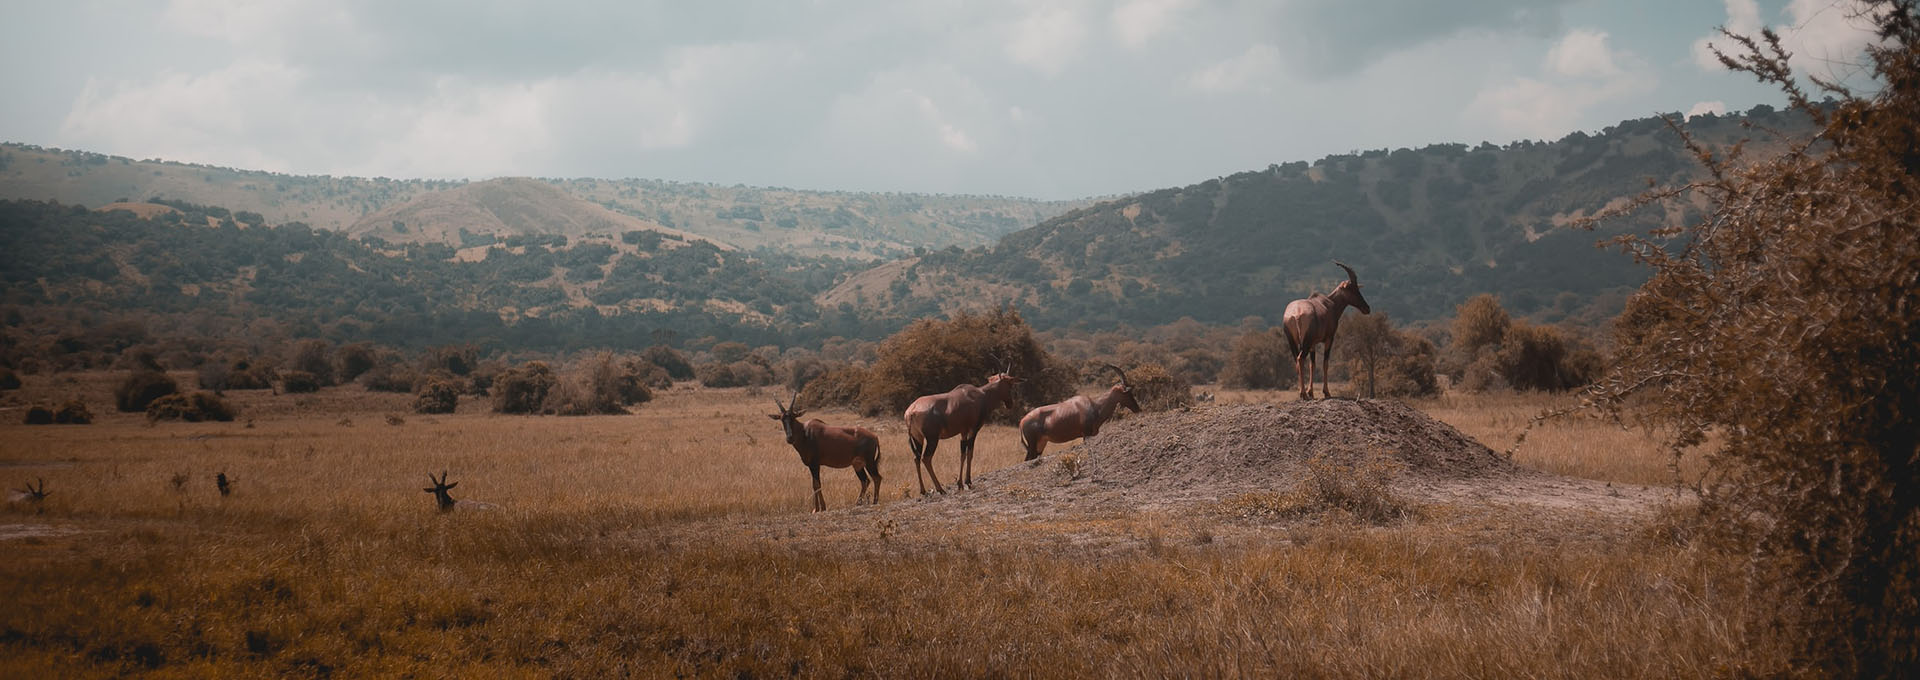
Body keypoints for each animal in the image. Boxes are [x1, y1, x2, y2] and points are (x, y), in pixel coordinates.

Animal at [906, 363, 1029, 491]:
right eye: (1010, 384)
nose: (1010, 404)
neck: (981, 395)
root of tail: (911, 411)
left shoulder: (963, 432)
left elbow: (962, 454)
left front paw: (960, 484)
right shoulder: (973, 429)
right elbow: (970, 453)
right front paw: (968, 482)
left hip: (917, 438)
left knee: (916, 458)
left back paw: (923, 491)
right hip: (932, 439)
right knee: (926, 458)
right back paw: (940, 489)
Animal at [1282, 259, 1374, 397]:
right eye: (1353, 289)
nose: (1367, 308)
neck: (1329, 303)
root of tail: (1296, 314)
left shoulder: (1313, 344)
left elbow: (1313, 365)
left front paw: (1311, 392)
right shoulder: (1329, 338)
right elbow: (1325, 363)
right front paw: (1326, 392)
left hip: (1293, 341)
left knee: (1297, 361)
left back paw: (1302, 393)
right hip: (1305, 342)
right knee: (1300, 359)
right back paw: (1303, 394)